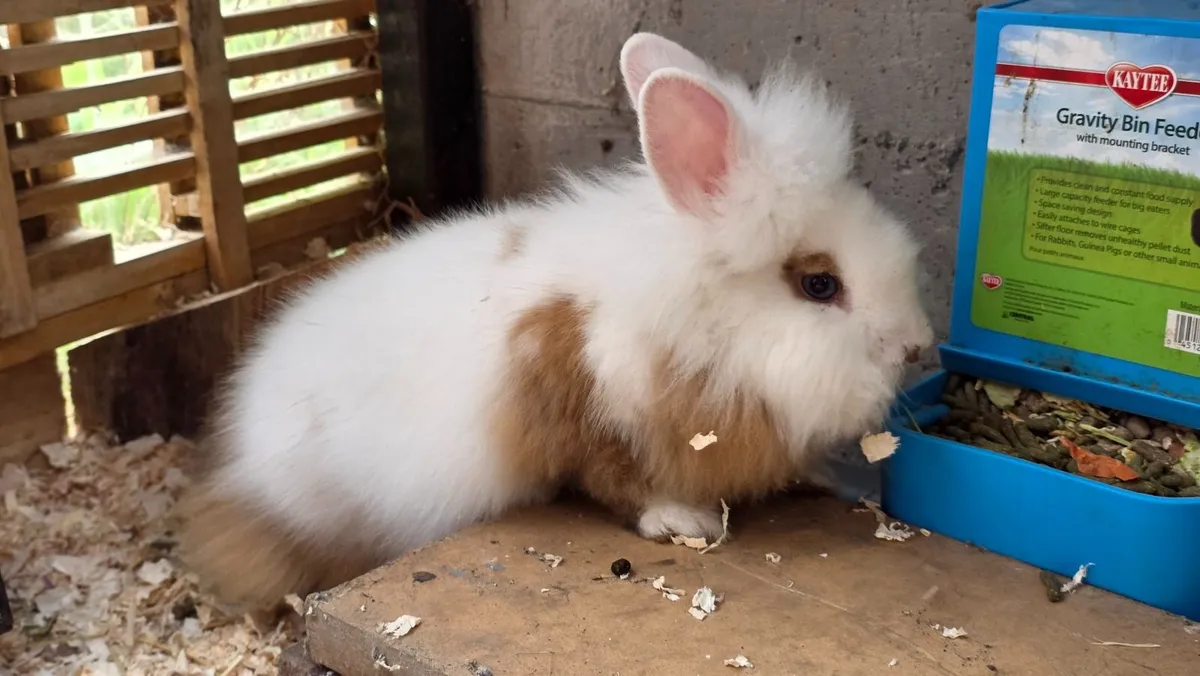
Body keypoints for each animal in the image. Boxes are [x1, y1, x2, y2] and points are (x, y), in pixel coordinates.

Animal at [174, 31, 934, 613]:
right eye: (819, 284)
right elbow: (620, 482)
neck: (695, 322)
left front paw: (828, 477)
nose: (918, 346)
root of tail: (233, 460)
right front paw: (683, 522)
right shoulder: (592, 415)